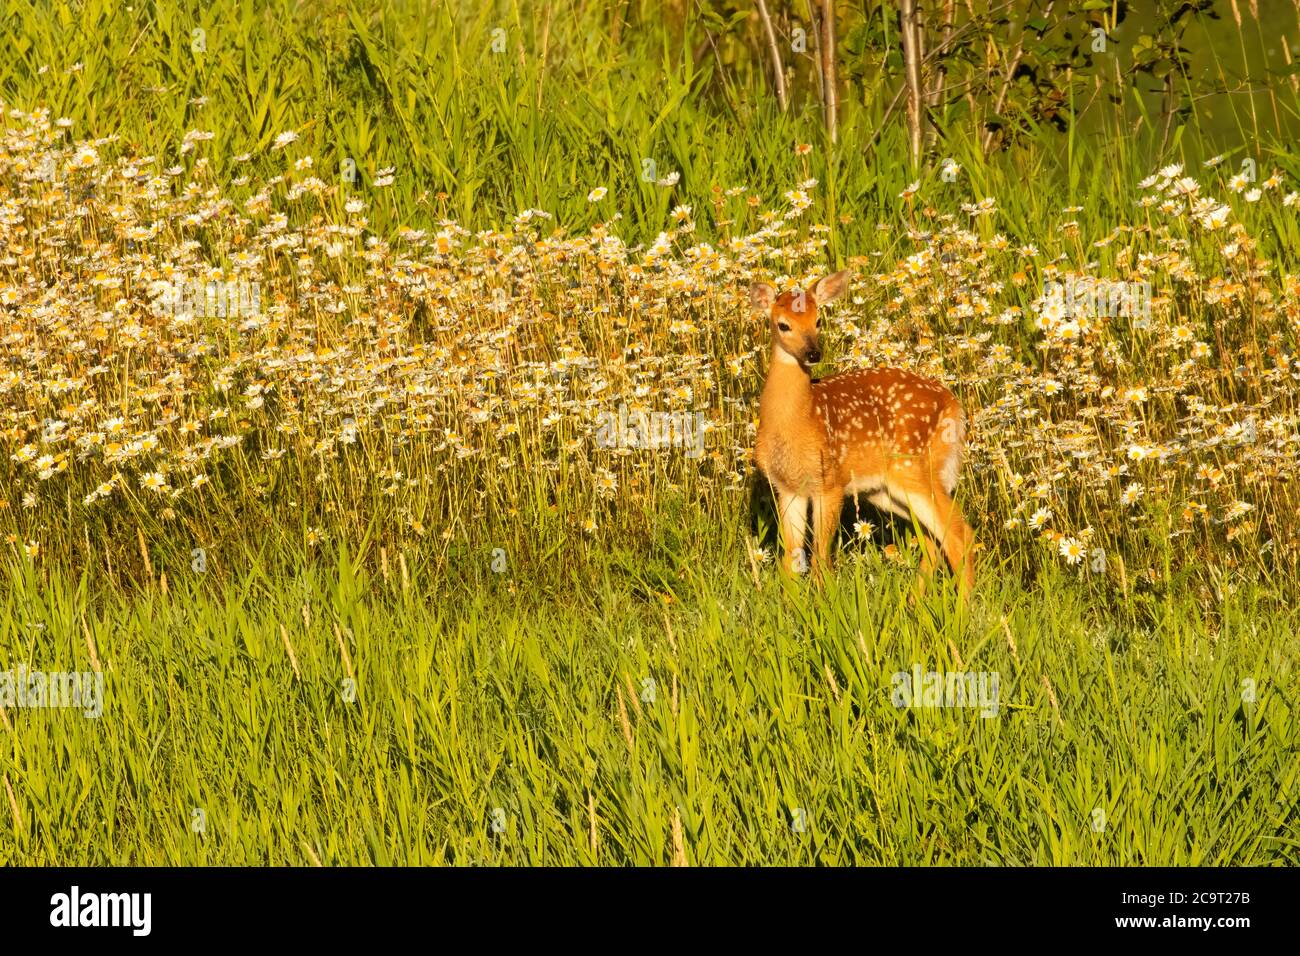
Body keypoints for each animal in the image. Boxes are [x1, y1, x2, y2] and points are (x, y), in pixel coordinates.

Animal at [751, 271, 976, 599]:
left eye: (819, 320)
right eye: (783, 324)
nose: (813, 353)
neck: (800, 420)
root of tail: (953, 404)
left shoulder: (830, 482)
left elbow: (820, 555)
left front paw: (824, 602)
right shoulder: (788, 488)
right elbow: (790, 560)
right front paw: (791, 606)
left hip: (914, 469)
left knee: (959, 533)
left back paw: (963, 606)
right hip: (885, 490)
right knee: (933, 540)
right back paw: (912, 602)